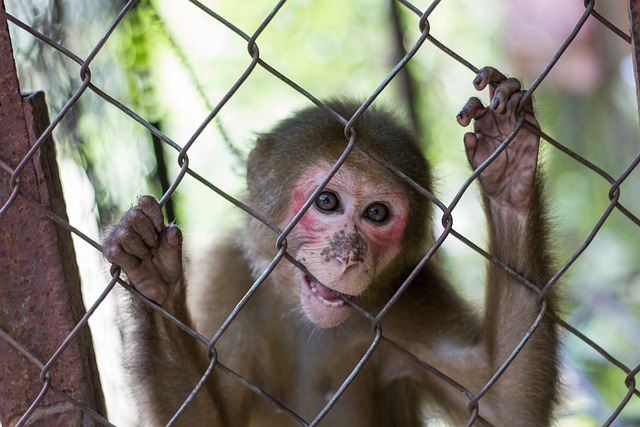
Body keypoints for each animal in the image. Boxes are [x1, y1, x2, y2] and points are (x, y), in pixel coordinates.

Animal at [103, 67, 559, 426]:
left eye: (377, 213)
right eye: (326, 202)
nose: (347, 257)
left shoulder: (406, 298)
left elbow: (503, 407)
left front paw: (508, 165)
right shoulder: (227, 277)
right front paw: (152, 274)